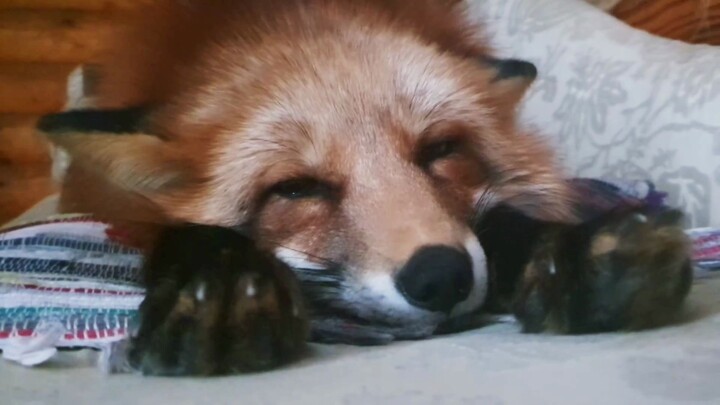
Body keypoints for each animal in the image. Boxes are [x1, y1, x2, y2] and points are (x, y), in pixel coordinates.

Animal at [36, 0, 692, 376]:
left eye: (441, 151)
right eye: (296, 188)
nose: (441, 277)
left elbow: (504, 222)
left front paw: (575, 259)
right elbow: (185, 233)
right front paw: (220, 282)